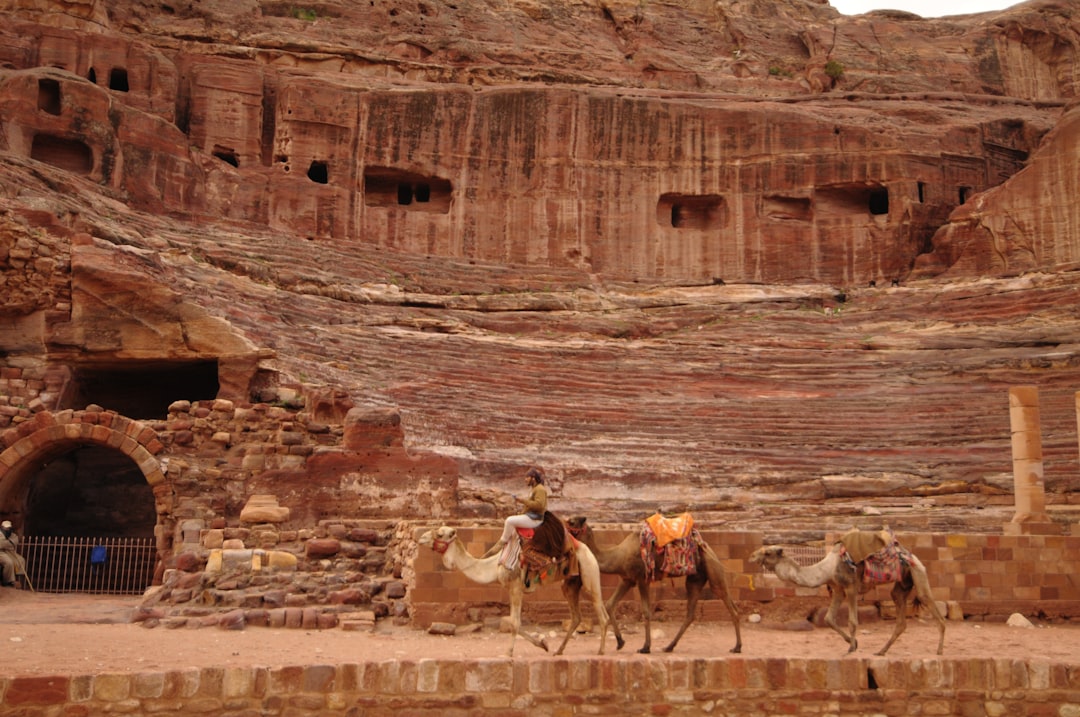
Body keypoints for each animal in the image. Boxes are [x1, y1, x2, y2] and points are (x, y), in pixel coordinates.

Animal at [416, 520, 613, 656]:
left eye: (440, 534)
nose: (421, 538)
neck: (495, 565)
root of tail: (587, 550)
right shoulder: (510, 589)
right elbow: (514, 622)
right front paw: (543, 644)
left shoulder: (517, 588)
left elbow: (515, 623)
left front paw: (508, 652)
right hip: (571, 584)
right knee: (578, 616)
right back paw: (559, 651)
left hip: (589, 575)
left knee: (602, 614)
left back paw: (601, 651)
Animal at [565, 516, 743, 656]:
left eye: (571, 521)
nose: (563, 529)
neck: (618, 556)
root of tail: (706, 546)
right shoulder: (627, 579)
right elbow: (610, 604)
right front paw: (620, 642)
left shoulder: (642, 579)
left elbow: (646, 611)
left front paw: (645, 647)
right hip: (695, 579)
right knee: (690, 613)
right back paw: (669, 647)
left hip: (713, 570)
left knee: (729, 604)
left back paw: (737, 647)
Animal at [751, 531, 946, 656]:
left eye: (767, 552)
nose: (752, 556)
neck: (827, 568)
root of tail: (911, 555)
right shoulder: (838, 589)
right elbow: (829, 618)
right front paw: (854, 644)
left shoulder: (851, 587)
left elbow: (852, 621)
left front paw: (851, 648)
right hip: (902, 584)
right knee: (900, 617)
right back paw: (881, 651)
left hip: (918, 572)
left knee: (929, 603)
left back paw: (939, 650)